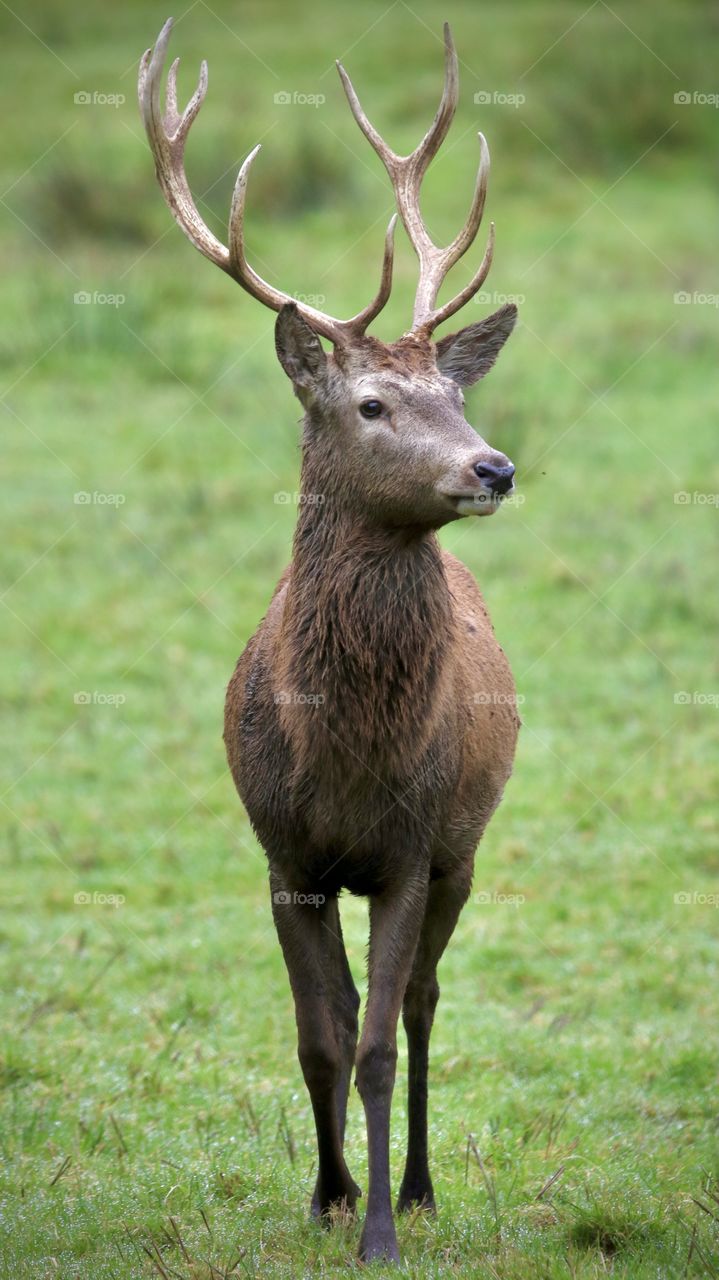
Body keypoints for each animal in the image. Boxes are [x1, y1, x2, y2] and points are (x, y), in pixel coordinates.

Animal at [139, 18, 521, 1265]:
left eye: (456, 390)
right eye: (369, 404)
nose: (492, 465)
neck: (344, 755)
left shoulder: (407, 848)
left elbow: (378, 1041)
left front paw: (381, 1231)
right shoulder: (282, 855)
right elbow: (317, 1033)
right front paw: (323, 1194)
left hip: (464, 844)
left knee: (423, 1005)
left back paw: (421, 1183)